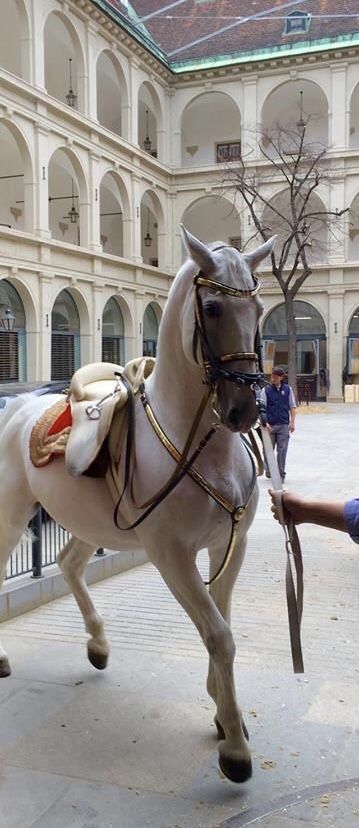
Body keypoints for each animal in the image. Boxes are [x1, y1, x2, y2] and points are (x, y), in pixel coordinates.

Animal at [0, 228, 276, 784]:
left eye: (258, 307)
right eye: (212, 307)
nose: (243, 410)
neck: (202, 446)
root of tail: (18, 403)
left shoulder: (229, 546)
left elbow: (223, 625)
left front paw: (223, 711)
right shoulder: (172, 556)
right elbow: (218, 634)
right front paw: (235, 748)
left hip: (89, 521)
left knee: (69, 563)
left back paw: (98, 644)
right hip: (11, 512)